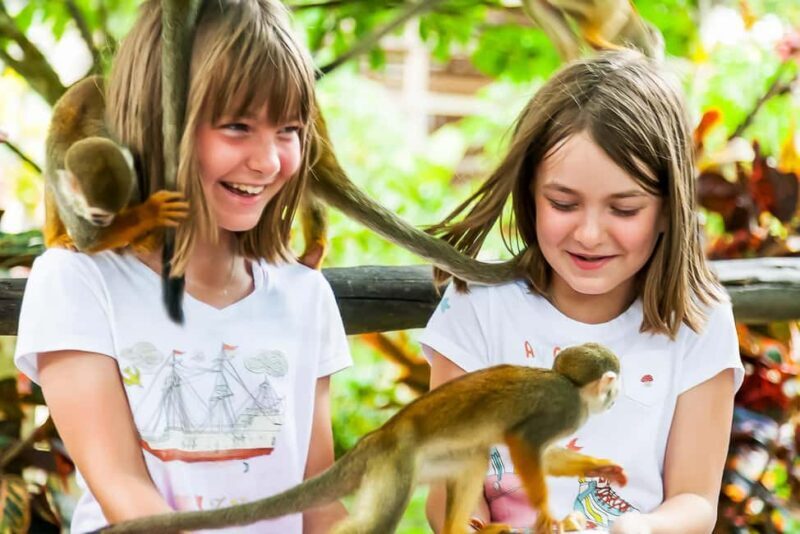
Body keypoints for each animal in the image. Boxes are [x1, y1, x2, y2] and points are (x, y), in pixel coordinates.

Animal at [44, 75, 189, 253]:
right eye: (98, 216)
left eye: (113, 212)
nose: (106, 223)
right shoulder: (63, 192)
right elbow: (89, 240)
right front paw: (152, 211)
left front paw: (140, 237)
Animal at [101, 342, 627, 534]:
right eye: (614, 384)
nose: (618, 396)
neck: (574, 389)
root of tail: (376, 438)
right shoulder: (563, 408)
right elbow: (525, 444)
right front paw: (546, 512)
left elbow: (547, 454)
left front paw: (600, 467)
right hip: (395, 465)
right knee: (374, 523)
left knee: (474, 455)